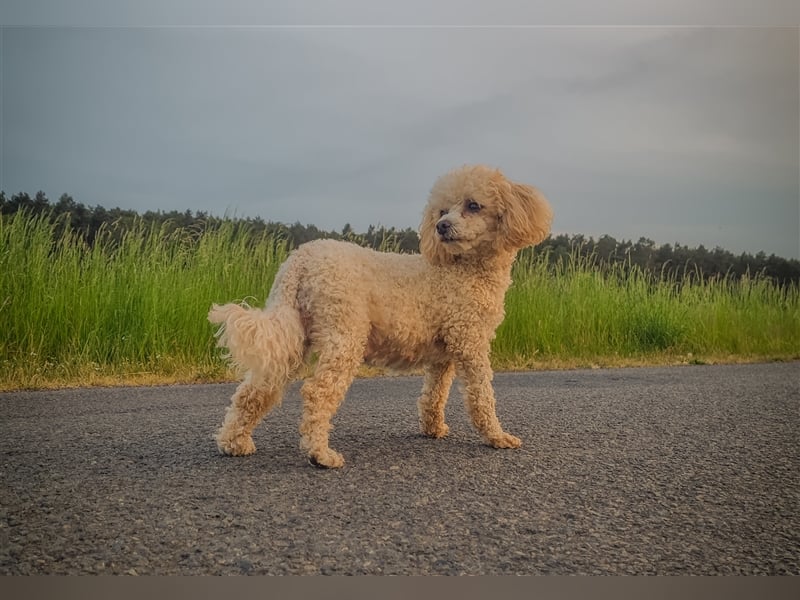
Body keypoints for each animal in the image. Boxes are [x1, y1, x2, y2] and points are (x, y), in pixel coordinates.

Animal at [209, 165, 552, 468]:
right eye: (443, 211)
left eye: (473, 205)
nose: (442, 226)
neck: (462, 268)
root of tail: (300, 259)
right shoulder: (470, 343)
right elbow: (482, 396)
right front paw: (497, 437)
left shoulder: (443, 354)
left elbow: (434, 395)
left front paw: (433, 429)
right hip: (344, 337)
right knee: (317, 392)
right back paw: (320, 454)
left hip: (292, 339)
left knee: (253, 391)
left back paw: (233, 442)